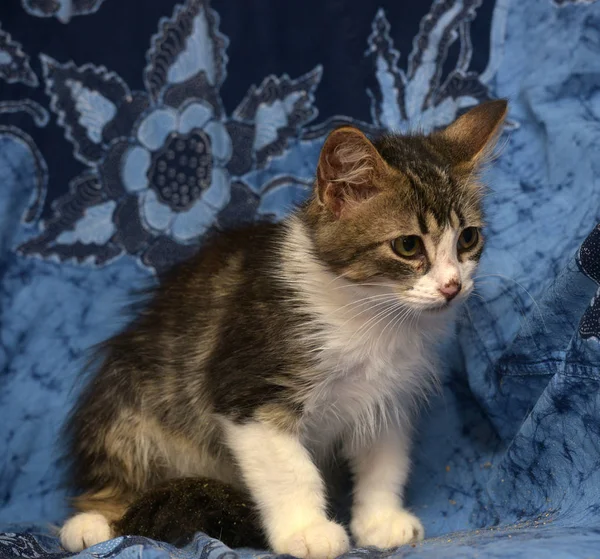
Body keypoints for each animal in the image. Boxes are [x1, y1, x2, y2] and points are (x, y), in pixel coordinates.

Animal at [57, 100, 506, 559]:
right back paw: (93, 524)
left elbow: (385, 462)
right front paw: (306, 532)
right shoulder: (251, 389)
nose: (452, 286)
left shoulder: (390, 397)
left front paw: (380, 522)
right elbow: (292, 470)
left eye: (468, 238)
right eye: (408, 245)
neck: (370, 317)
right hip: (130, 407)